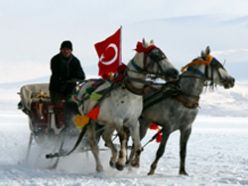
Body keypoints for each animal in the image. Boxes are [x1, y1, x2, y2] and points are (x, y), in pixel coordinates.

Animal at [72, 40, 178, 172]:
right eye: (155, 55)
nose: (175, 72)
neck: (130, 93)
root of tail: (83, 86)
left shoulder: (133, 121)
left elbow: (137, 143)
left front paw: (133, 163)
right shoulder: (119, 120)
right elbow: (123, 138)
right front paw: (121, 162)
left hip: (108, 122)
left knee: (106, 137)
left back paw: (112, 159)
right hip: (90, 121)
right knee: (93, 143)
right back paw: (100, 166)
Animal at [140, 46, 234, 176]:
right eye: (217, 65)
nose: (232, 80)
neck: (184, 97)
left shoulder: (187, 128)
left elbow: (183, 151)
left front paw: (183, 171)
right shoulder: (168, 127)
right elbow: (161, 150)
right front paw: (152, 169)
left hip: (145, 121)